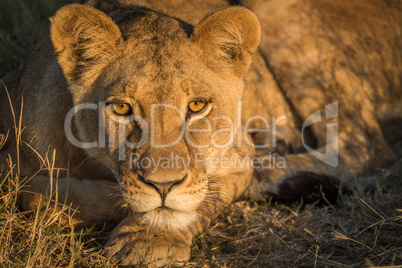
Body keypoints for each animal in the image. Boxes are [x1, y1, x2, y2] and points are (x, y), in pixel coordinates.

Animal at [0, 0, 400, 264]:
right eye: (122, 108)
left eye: (196, 106)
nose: (163, 186)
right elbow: (39, 192)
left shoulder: (236, 156)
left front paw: (147, 240)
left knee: (364, 149)